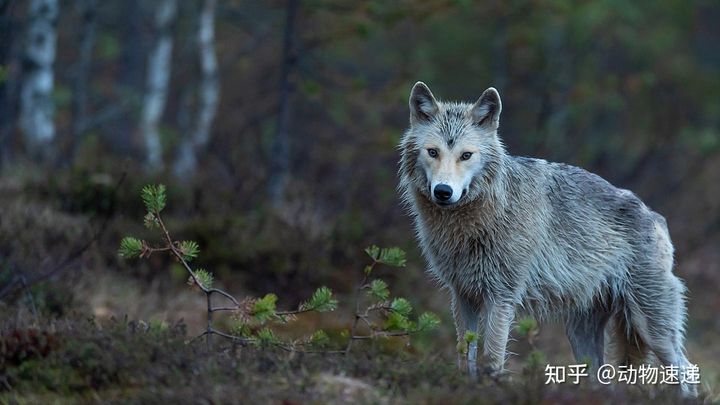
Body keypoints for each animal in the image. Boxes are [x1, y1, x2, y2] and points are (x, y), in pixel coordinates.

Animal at [396, 81, 696, 394]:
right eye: (433, 152)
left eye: (466, 155)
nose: (443, 191)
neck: (476, 220)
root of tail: (656, 216)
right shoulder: (462, 295)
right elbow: (464, 353)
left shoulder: (501, 297)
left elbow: (492, 357)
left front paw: (491, 389)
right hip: (581, 334)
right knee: (603, 379)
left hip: (652, 327)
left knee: (686, 370)